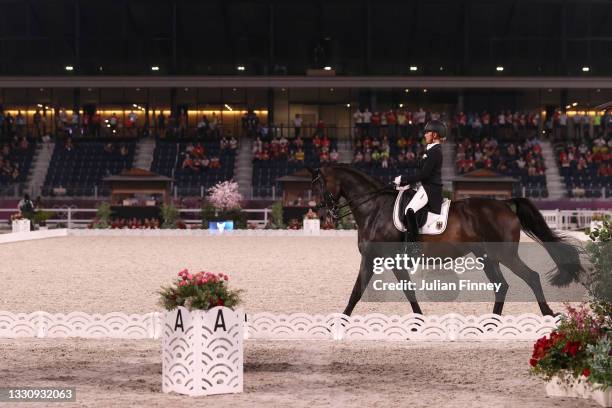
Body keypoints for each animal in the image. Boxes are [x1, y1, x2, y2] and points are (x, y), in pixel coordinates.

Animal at [308, 164, 584, 318]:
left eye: (319, 186)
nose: (323, 214)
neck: (375, 209)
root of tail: (505, 204)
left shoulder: (388, 260)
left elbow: (399, 290)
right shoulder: (372, 259)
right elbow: (359, 291)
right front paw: (341, 321)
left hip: (504, 255)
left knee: (531, 277)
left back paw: (547, 313)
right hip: (487, 257)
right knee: (502, 286)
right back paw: (491, 324)